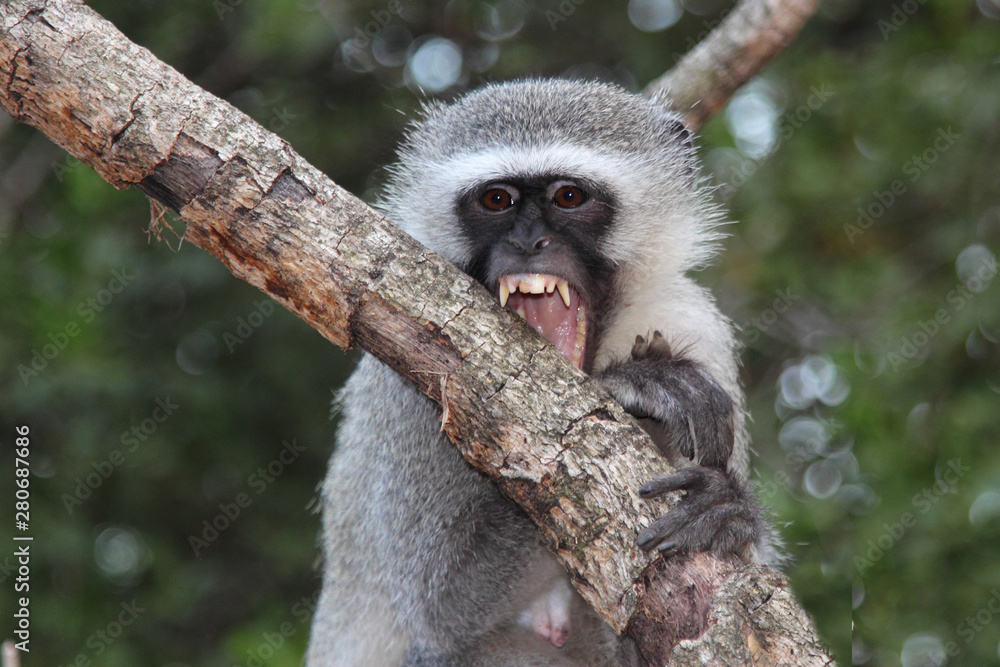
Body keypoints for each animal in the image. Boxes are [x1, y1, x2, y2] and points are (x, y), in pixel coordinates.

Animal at [306, 78, 779, 666]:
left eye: (569, 197)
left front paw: (724, 506)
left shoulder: (692, 324)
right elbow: (441, 607)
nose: (528, 243)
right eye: (497, 200)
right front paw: (639, 391)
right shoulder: (410, 378)